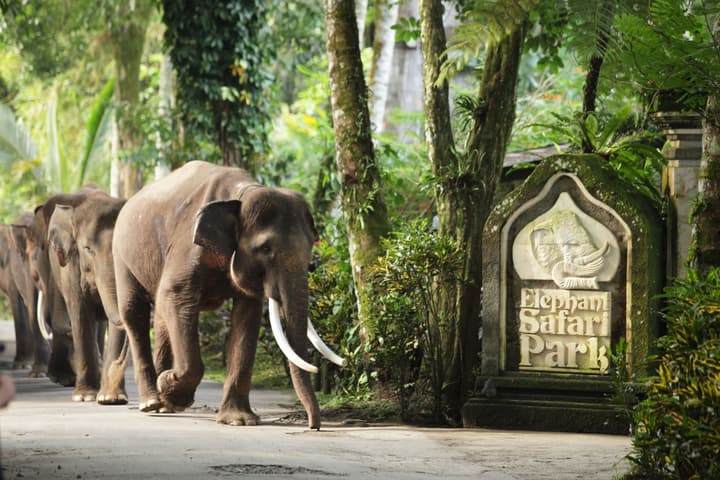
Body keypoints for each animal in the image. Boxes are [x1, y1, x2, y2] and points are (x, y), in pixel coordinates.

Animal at [48, 190, 128, 403]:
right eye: (87, 249)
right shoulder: (71, 266)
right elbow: (80, 313)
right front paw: (84, 396)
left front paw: (111, 398)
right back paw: (64, 378)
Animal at [111, 160, 344, 428]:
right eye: (266, 248)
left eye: (310, 248)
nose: (313, 425)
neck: (241, 194)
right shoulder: (187, 245)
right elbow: (176, 296)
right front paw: (172, 389)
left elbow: (247, 314)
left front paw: (238, 421)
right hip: (121, 254)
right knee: (135, 313)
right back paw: (151, 401)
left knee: (160, 316)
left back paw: (162, 404)